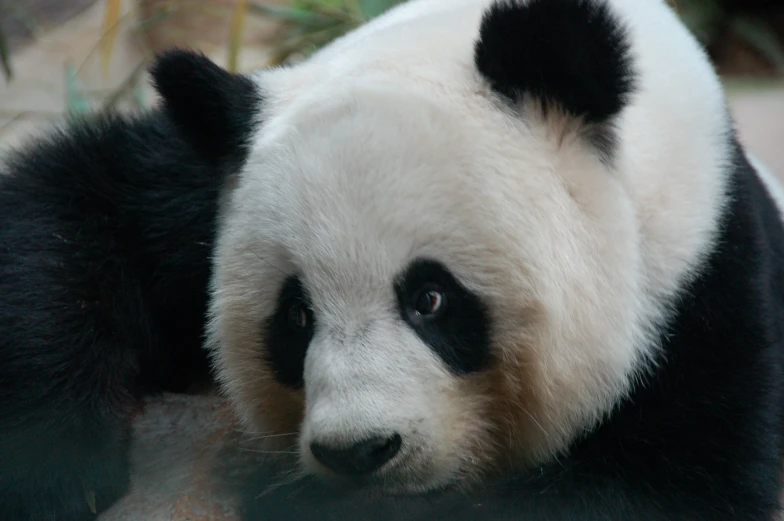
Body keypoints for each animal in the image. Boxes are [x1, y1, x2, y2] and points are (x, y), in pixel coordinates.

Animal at [1, 0, 784, 516]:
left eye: (431, 298)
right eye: (295, 315)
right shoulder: (194, 194)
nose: (359, 451)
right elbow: (72, 209)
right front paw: (54, 466)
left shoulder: (701, 300)